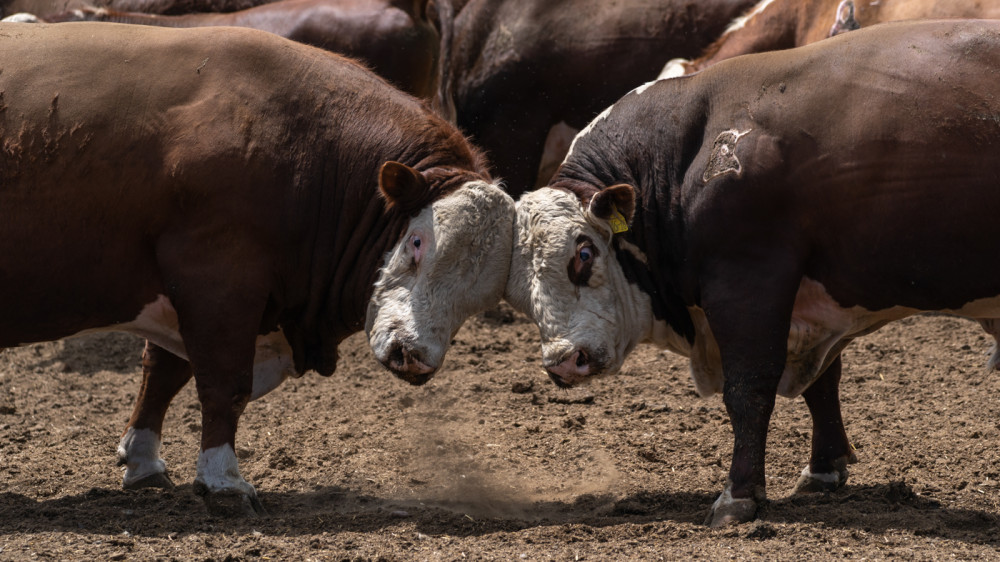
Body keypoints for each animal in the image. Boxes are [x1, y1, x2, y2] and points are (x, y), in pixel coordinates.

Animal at [0, 21, 516, 516]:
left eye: (482, 295)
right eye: (416, 242)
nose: (415, 356)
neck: (307, 147)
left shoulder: (180, 290)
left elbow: (162, 372)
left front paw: (143, 461)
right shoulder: (217, 280)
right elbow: (223, 383)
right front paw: (223, 481)